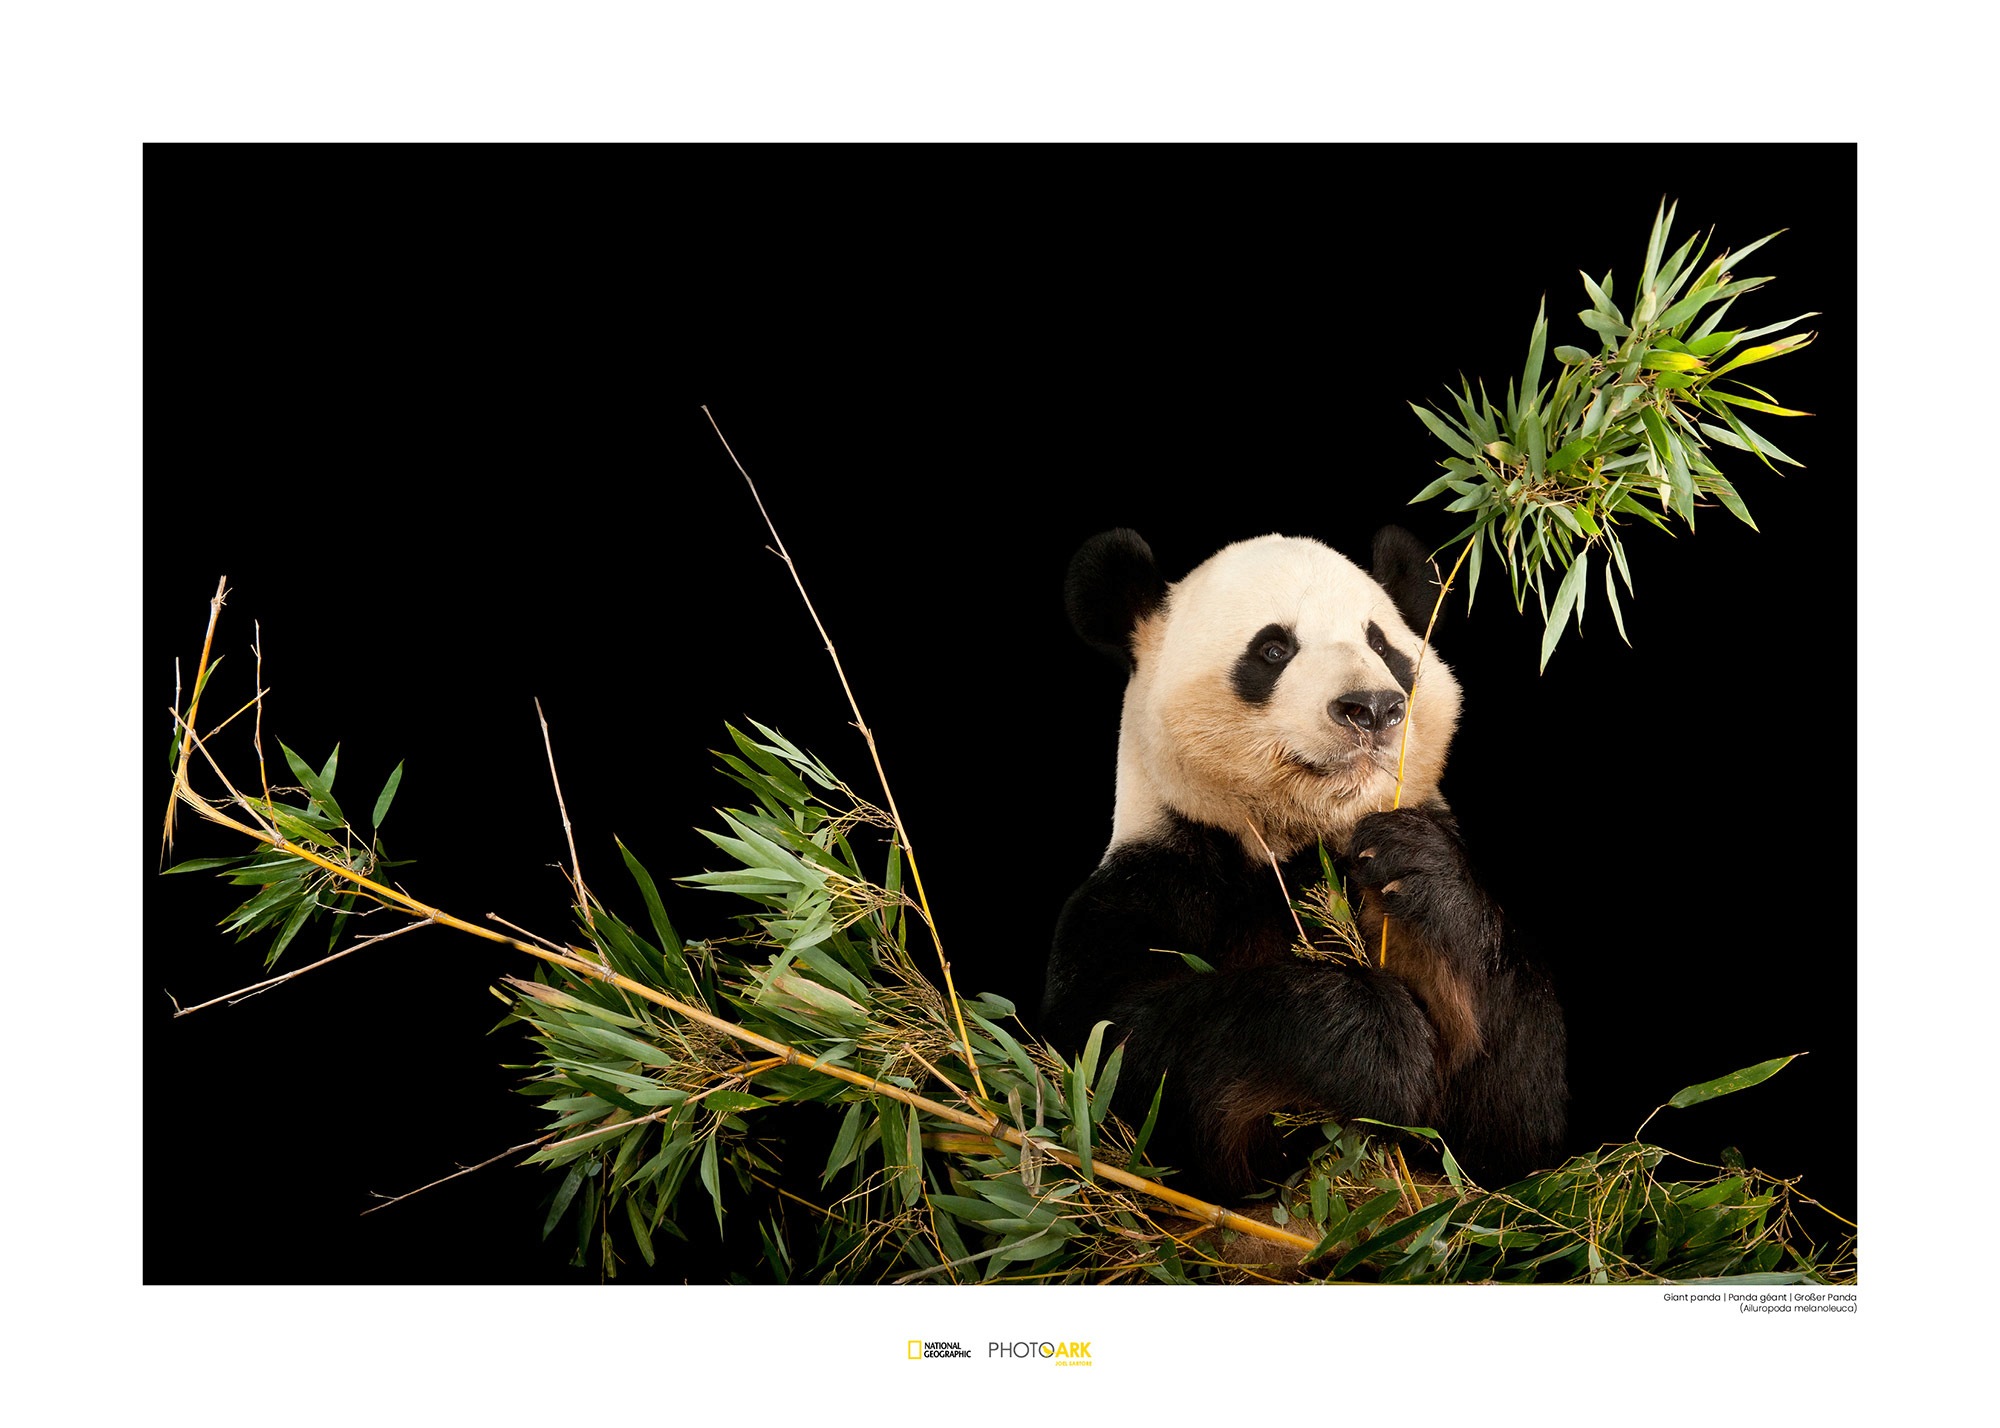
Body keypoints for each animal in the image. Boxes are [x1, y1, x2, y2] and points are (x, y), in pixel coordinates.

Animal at [1041, 526, 1566, 1201]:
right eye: (1273, 649)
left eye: (1382, 645)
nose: (1372, 707)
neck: (1294, 843)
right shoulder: (1150, 881)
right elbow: (1114, 1057)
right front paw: (1378, 1041)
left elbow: (1509, 1129)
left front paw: (1421, 869)